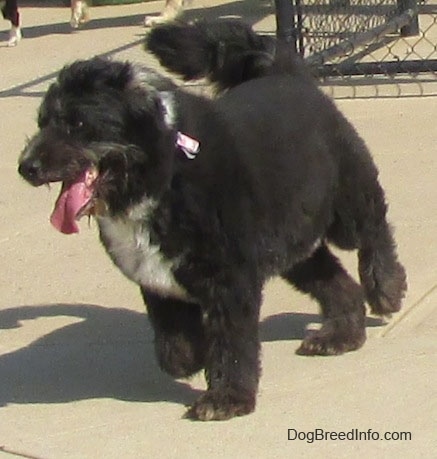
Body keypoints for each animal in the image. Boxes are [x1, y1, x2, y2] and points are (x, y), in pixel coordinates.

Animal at [17, 21, 406, 422]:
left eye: (78, 122)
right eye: (42, 122)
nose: (26, 166)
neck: (164, 175)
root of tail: (284, 73)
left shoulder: (230, 282)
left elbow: (231, 345)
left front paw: (227, 397)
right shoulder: (159, 284)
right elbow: (175, 350)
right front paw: (194, 358)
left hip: (347, 207)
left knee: (375, 231)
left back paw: (385, 287)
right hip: (290, 244)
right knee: (336, 282)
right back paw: (340, 334)